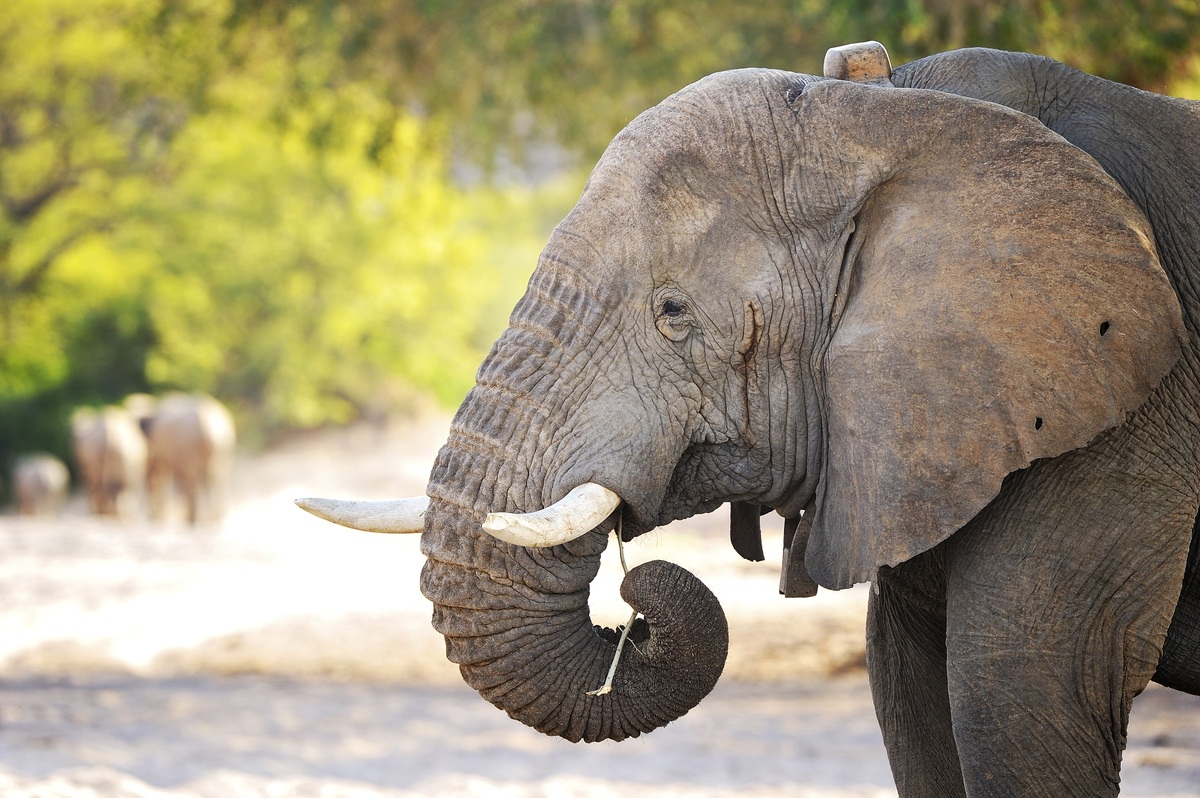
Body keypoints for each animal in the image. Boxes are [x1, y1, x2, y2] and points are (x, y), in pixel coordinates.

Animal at [143, 392, 236, 525]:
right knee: (215, 478)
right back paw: (213, 519)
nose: (150, 517)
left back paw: (195, 520)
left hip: (196, 446)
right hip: (223, 448)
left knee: (198, 480)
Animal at [298, 44, 1200, 797]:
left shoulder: (1112, 426)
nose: (634, 602)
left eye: (673, 313)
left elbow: (1012, 708)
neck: (890, 113)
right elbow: (912, 705)